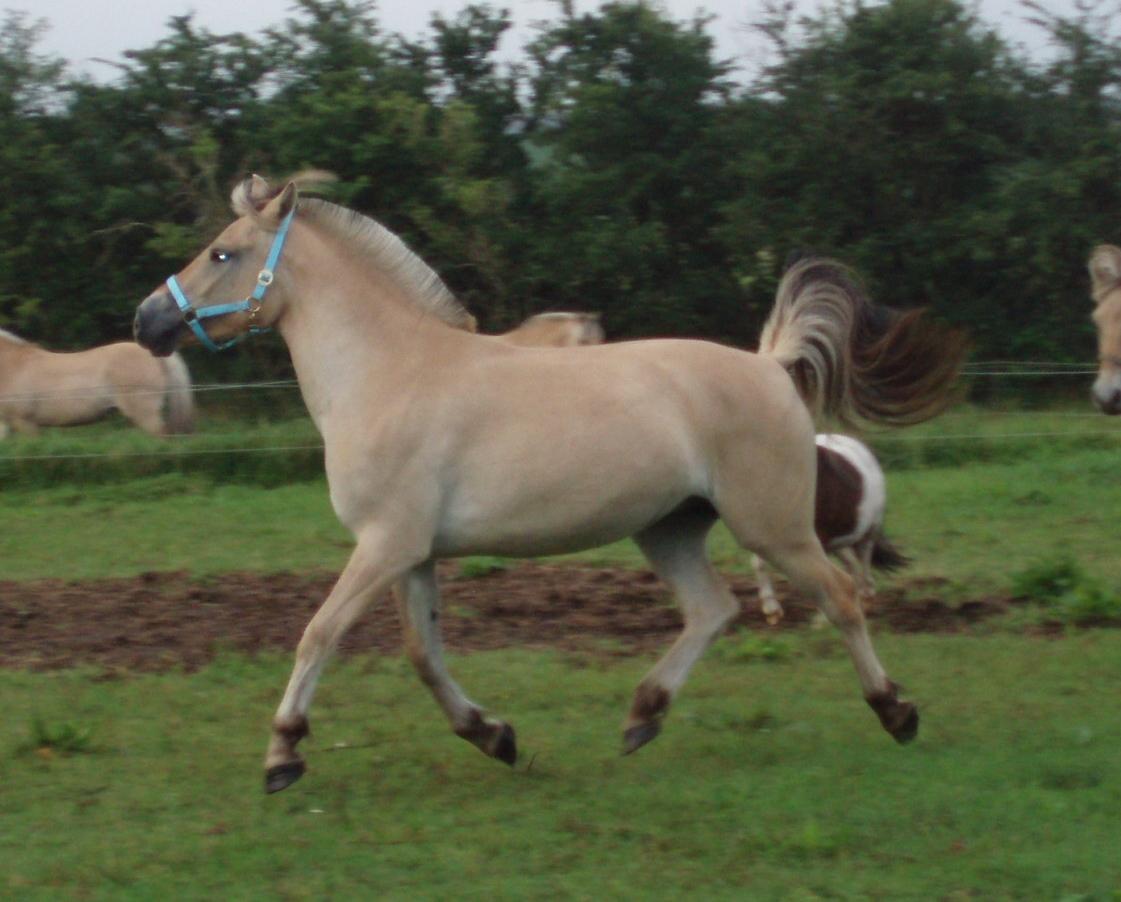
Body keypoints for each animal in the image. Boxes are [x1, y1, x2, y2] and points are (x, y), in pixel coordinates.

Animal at [753, 432, 901, 622]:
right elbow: (759, 564)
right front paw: (771, 610)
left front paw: (822, 620)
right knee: (851, 566)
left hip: (868, 532)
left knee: (864, 560)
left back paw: (865, 600)